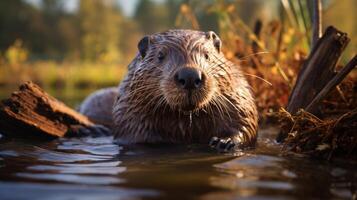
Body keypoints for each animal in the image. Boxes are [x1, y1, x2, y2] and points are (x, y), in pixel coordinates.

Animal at [78, 29, 256, 151]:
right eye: (160, 55)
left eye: (207, 55)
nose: (189, 76)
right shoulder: (128, 107)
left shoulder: (237, 97)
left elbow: (246, 121)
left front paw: (223, 141)